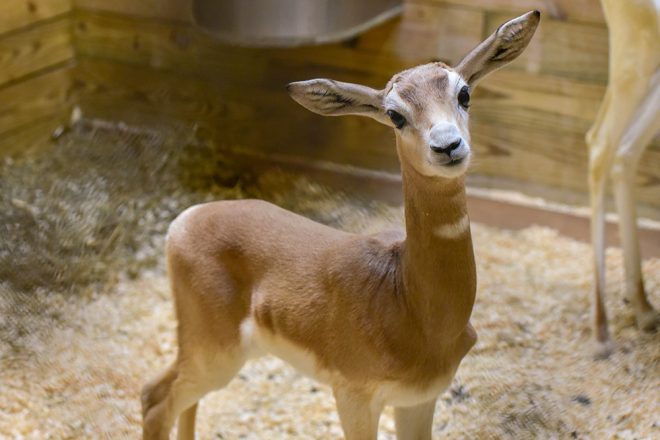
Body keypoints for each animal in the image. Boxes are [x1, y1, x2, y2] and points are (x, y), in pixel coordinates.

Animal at [142, 11, 540, 440]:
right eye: (395, 114)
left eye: (464, 93)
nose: (448, 145)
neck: (411, 303)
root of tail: (186, 218)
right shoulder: (354, 396)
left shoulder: (419, 399)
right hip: (214, 353)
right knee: (154, 397)